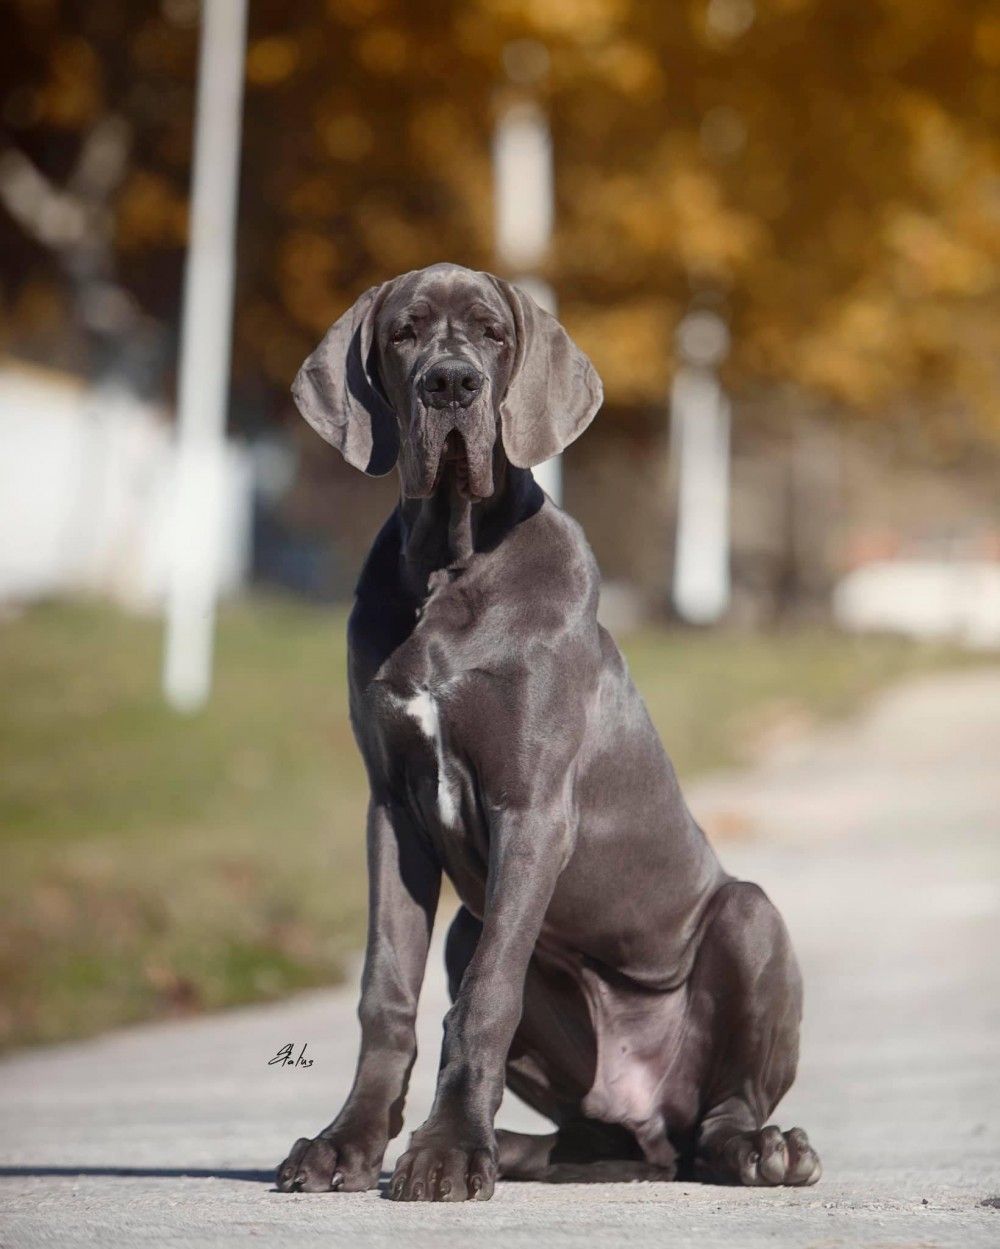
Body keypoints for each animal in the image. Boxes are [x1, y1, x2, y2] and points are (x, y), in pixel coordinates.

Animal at [276, 262, 820, 1201]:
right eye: (403, 333)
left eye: (493, 334)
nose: (451, 385)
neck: (450, 563)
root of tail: (653, 1116)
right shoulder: (391, 810)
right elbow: (387, 989)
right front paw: (349, 1143)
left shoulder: (531, 808)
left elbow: (487, 996)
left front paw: (448, 1149)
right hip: (482, 948)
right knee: (592, 1128)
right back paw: (528, 1149)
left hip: (748, 917)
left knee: (726, 1111)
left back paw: (763, 1148)